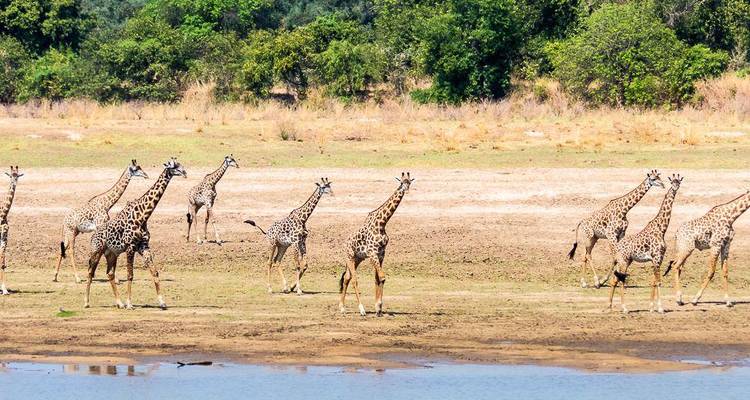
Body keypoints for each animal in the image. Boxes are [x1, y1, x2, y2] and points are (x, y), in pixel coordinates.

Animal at [84, 158, 186, 310]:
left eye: (179, 164)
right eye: (173, 166)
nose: (184, 172)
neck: (143, 216)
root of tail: (92, 236)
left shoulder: (144, 246)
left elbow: (155, 272)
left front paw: (162, 302)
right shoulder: (131, 246)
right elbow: (130, 275)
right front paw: (130, 304)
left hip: (112, 253)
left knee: (110, 273)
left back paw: (119, 303)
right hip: (97, 250)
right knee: (91, 271)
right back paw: (86, 302)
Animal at [339, 172, 413, 317]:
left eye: (409, 182)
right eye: (402, 182)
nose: (406, 190)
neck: (382, 223)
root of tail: (344, 243)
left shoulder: (381, 254)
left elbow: (378, 279)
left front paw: (378, 309)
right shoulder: (372, 253)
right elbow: (382, 277)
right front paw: (378, 307)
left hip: (357, 259)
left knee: (346, 278)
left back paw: (342, 307)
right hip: (349, 257)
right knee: (354, 279)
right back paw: (361, 309)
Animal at [605, 174, 683, 314]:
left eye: (679, 182)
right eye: (672, 182)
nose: (675, 188)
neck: (662, 228)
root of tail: (617, 247)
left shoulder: (658, 259)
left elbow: (654, 281)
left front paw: (651, 307)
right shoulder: (656, 258)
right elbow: (658, 282)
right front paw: (660, 308)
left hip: (625, 261)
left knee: (615, 280)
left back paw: (609, 306)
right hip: (624, 261)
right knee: (621, 280)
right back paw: (624, 308)